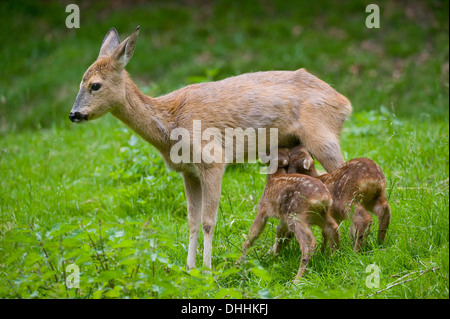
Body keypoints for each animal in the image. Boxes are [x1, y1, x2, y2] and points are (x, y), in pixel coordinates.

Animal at [69, 26, 352, 270]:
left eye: (95, 85)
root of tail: (344, 103)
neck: (170, 123)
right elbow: (192, 221)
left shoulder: (213, 159)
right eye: (80, 82)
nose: (73, 114)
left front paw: (207, 270)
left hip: (323, 135)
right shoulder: (188, 171)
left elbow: (208, 221)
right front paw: (189, 268)